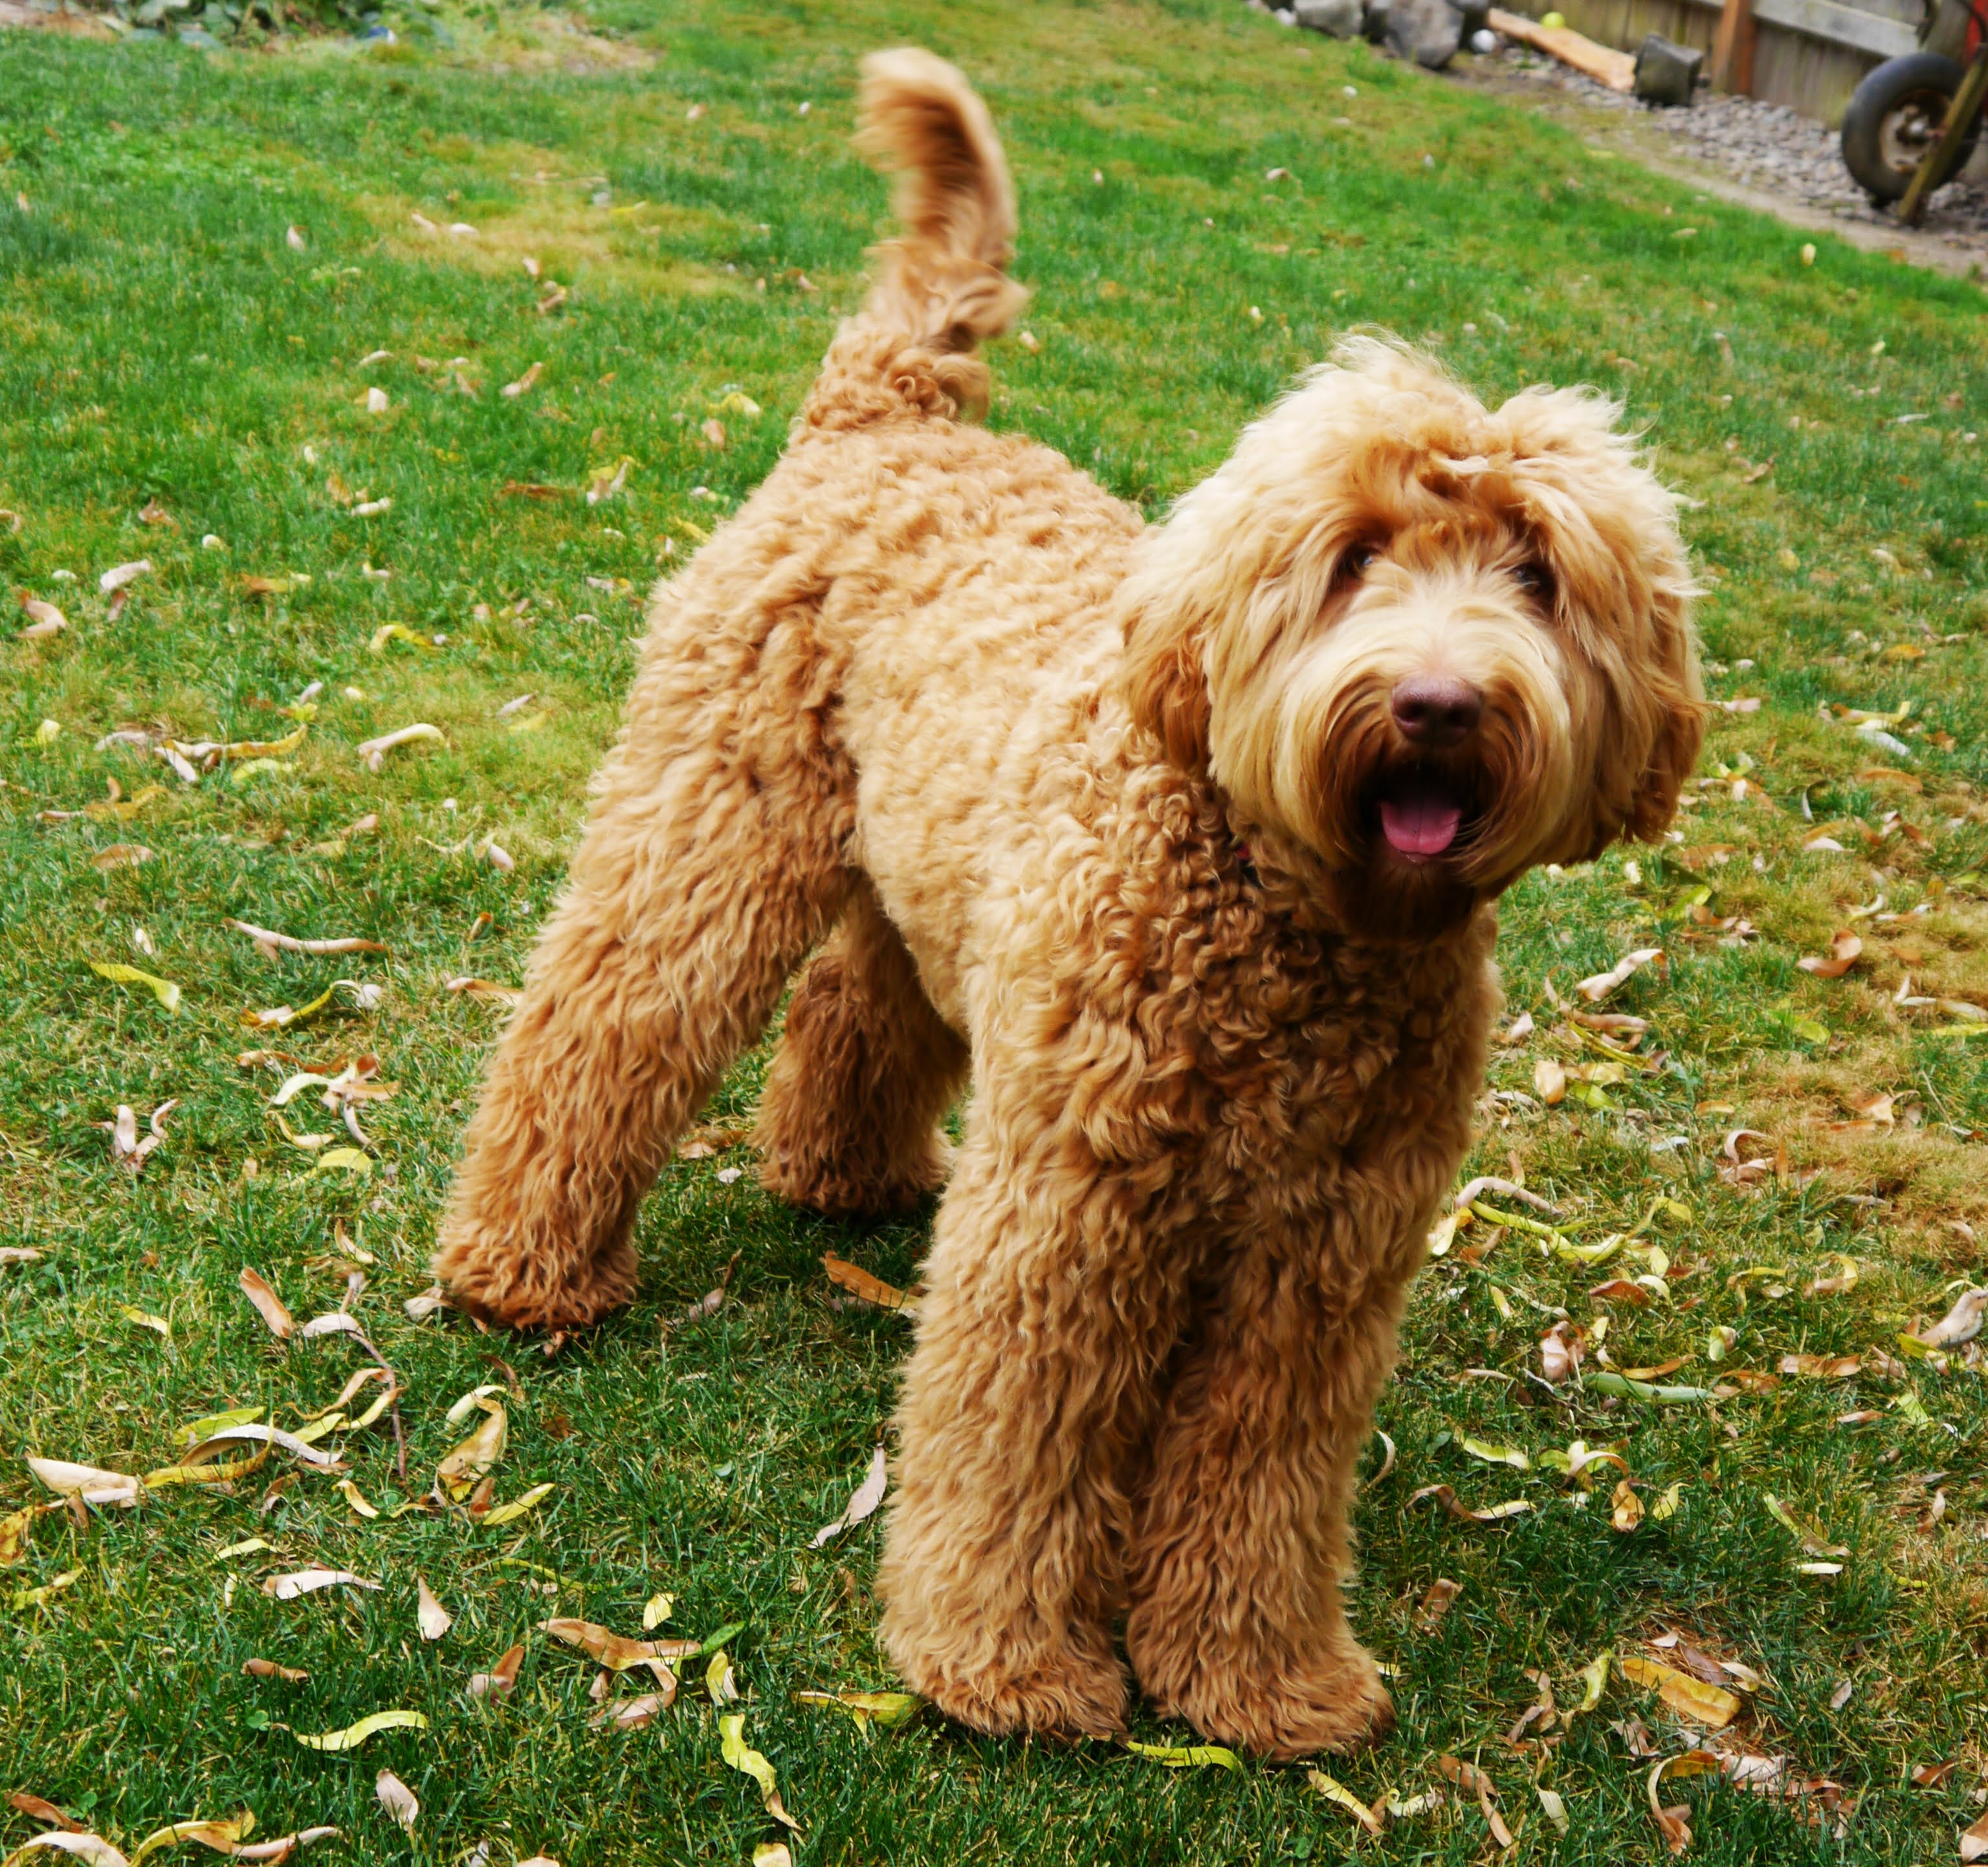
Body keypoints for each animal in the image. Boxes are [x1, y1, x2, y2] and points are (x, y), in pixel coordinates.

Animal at [439, 47, 1709, 1765]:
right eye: (1353, 558)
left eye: (1536, 575)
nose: (1440, 704)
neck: (1285, 912)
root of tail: (893, 410)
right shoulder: (1069, 1215)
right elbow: (1018, 1445)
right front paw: (1005, 1667)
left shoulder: (1322, 1260)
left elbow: (1260, 1482)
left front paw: (1259, 1680)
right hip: (712, 828)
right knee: (599, 1017)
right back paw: (523, 1268)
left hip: (926, 883)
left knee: (854, 1000)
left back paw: (840, 1174)